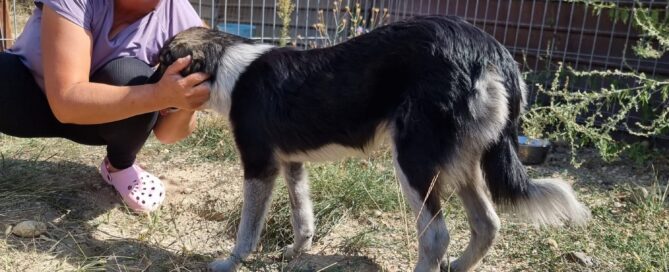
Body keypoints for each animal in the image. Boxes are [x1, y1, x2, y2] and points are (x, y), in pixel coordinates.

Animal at [153, 15, 588, 272]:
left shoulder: (260, 166)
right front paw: (295, 253)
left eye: (161, 62)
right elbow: (302, 217)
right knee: (487, 224)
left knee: (436, 235)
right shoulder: (292, 163)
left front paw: (230, 262)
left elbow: (248, 228)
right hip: (461, 161)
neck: (225, 63)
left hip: (413, 161)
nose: (147, 88)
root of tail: (491, 50)